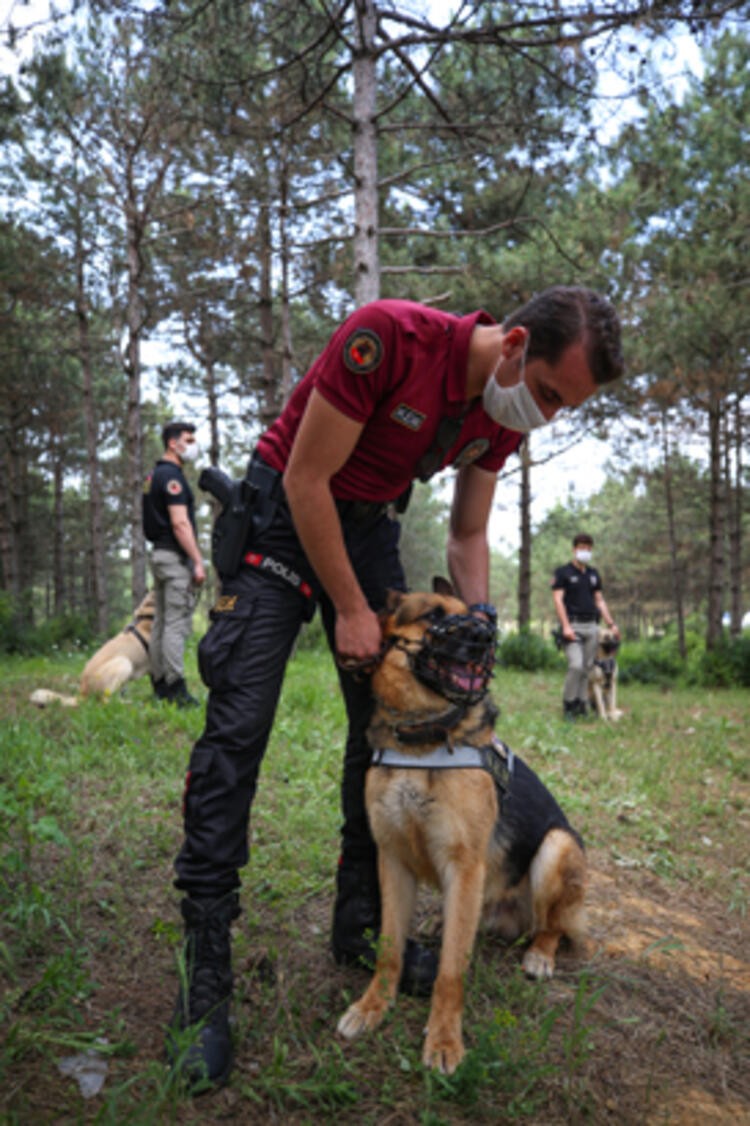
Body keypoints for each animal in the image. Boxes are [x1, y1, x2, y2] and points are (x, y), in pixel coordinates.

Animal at [335, 585, 585, 1076]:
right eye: (432, 615)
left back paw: (539, 955)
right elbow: (389, 949)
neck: (423, 738)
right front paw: (373, 1007)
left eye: (477, 617)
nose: (486, 638)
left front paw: (445, 1041)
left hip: (557, 846)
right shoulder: (392, 861)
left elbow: (451, 970)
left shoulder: (465, 866)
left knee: (552, 925)